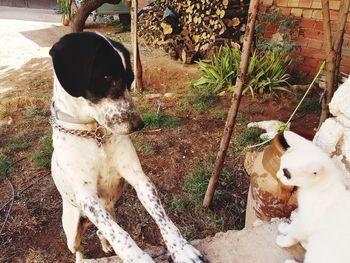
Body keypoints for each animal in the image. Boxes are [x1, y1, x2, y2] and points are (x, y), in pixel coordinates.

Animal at [47, 32, 204, 262]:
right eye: (106, 77)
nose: (139, 124)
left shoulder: (139, 178)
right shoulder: (88, 197)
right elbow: (120, 234)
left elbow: (163, 219)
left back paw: (105, 245)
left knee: (100, 231)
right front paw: (136, 257)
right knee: (80, 248)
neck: (95, 134)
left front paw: (181, 248)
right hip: (72, 230)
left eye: (130, 79)